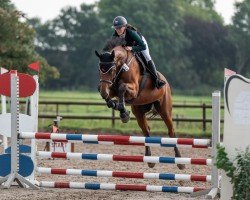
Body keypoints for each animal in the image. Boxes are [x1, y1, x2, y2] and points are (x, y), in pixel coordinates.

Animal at [94, 36, 185, 170]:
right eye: (100, 69)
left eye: (111, 70)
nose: (104, 90)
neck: (123, 65)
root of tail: (166, 82)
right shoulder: (112, 89)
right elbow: (110, 96)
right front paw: (118, 107)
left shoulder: (134, 89)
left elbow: (122, 88)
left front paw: (123, 112)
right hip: (138, 111)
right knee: (146, 131)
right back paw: (150, 160)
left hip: (165, 110)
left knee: (171, 132)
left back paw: (180, 162)